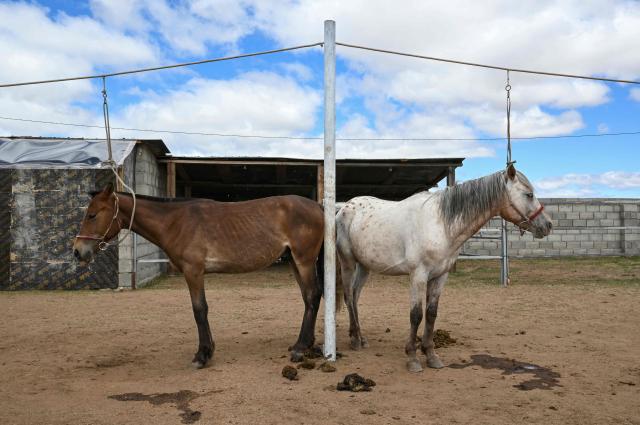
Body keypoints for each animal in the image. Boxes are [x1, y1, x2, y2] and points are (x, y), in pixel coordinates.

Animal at [73, 183, 324, 368]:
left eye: (92, 215)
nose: (77, 251)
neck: (175, 221)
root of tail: (318, 207)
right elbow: (201, 310)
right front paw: (209, 349)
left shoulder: (193, 271)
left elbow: (199, 309)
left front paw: (202, 355)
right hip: (294, 261)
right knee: (308, 299)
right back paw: (304, 344)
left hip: (304, 261)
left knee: (313, 295)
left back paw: (300, 349)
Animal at [335, 164, 552, 373]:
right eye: (528, 194)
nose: (548, 225)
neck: (439, 225)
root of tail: (344, 208)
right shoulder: (418, 275)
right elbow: (416, 315)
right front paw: (412, 358)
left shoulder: (440, 276)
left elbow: (431, 313)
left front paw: (431, 355)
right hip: (348, 263)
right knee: (348, 296)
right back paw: (354, 339)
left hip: (364, 266)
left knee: (355, 296)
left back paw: (361, 337)